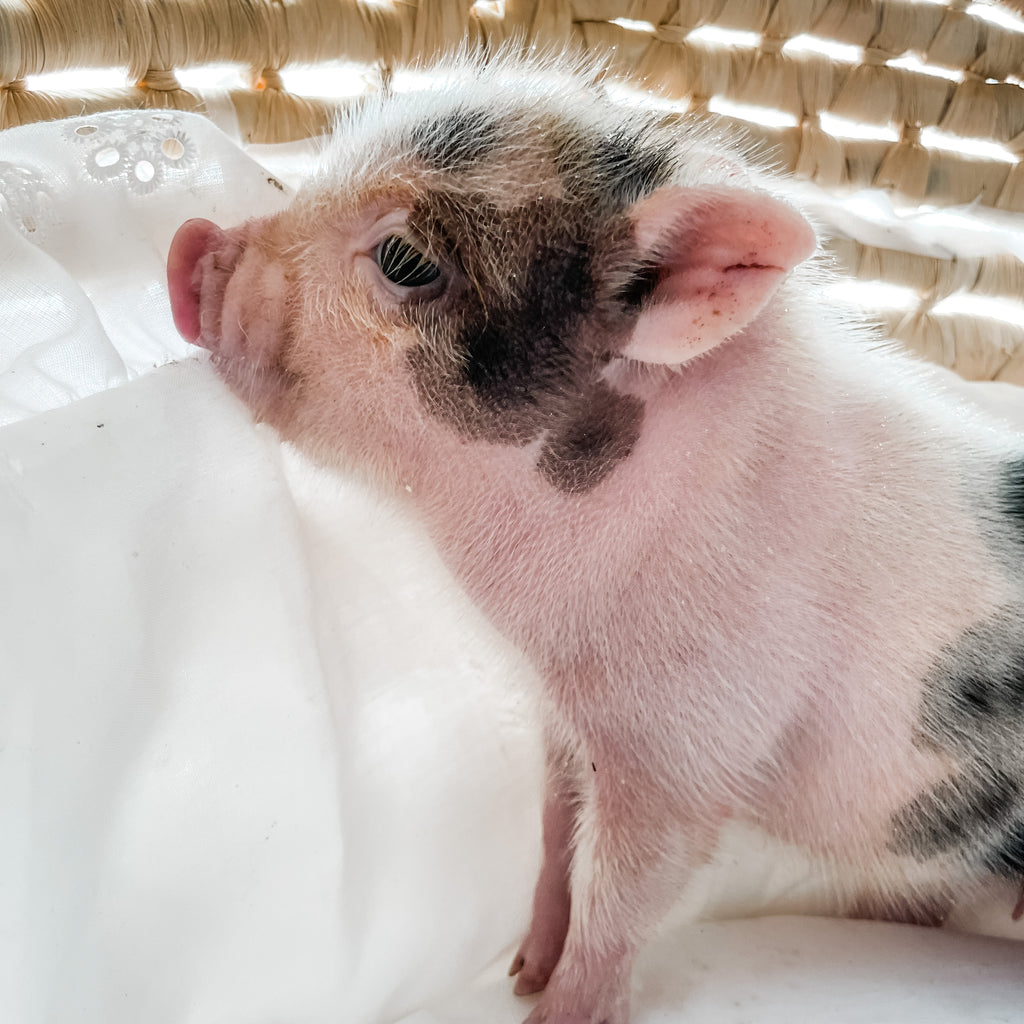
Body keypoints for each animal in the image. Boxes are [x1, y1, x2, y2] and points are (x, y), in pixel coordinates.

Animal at [166, 53, 1024, 1024]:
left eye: (405, 259)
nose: (191, 240)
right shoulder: (567, 720)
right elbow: (553, 836)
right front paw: (521, 972)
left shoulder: (689, 746)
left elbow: (623, 895)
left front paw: (557, 1010)